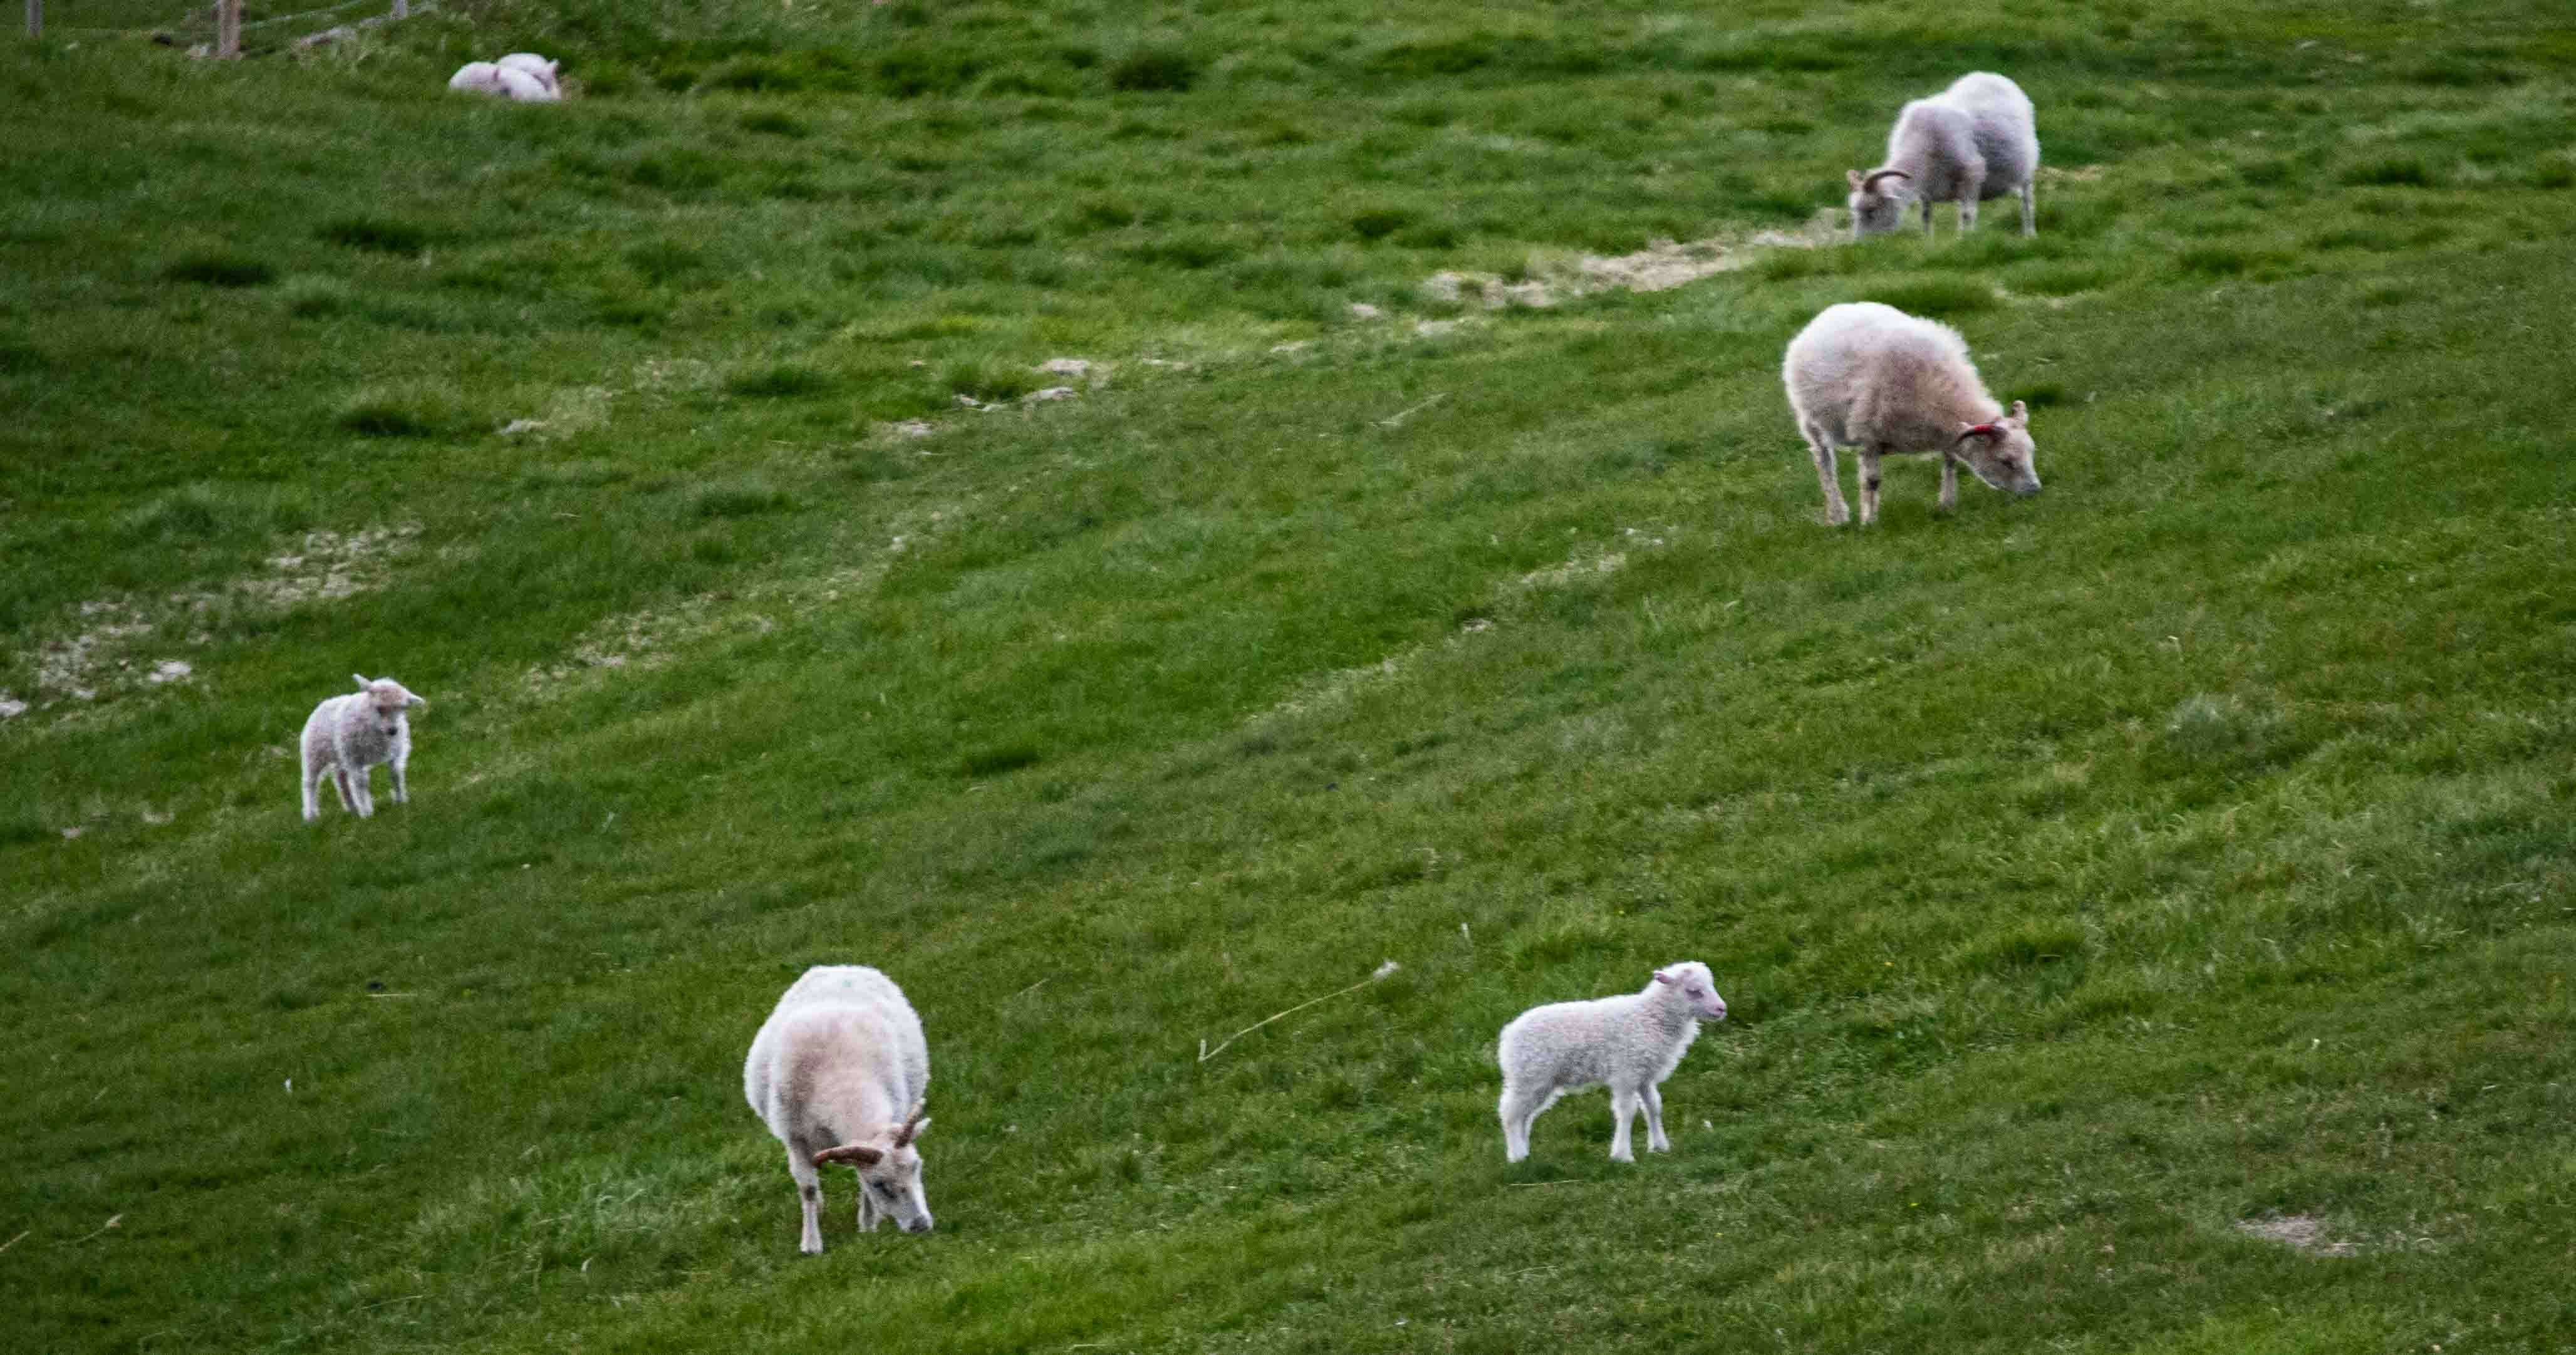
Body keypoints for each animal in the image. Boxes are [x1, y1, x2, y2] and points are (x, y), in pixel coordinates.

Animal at [298, 674, 425, 822]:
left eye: (402, 708)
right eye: (380, 708)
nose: (393, 730)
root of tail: (327, 701)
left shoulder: (396, 752)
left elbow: (396, 774)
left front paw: (400, 801)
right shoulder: (354, 758)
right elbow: (361, 782)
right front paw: (366, 813)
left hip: (341, 754)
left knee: (340, 777)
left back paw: (351, 807)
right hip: (314, 752)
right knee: (310, 782)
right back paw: (310, 815)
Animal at [744, 965, 935, 1253]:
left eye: (917, 1166)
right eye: (880, 1184)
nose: (921, 1226)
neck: (843, 1083)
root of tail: (843, 967)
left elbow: (859, 1181)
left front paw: (867, 1225)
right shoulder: (794, 1137)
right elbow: (808, 1187)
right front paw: (811, 1243)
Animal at [1497, 962, 1728, 1163]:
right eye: (1694, 991)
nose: (1722, 1009)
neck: (1651, 1017)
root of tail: (1507, 1036)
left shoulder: (1644, 1074)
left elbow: (1653, 1106)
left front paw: (1660, 1146)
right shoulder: (1626, 1072)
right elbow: (1627, 1110)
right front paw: (1623, 1155)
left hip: (1539, 1081)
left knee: (1525, 1115)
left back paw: (1523, 1151)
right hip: (1530, 1076)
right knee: (1510, 1113)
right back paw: (1517, 1156)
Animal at [1782, 301, 2043, 526]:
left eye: (2031, 453)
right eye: (2006, 461)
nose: (2035, 490)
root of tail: (1829, 313)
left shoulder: (1948, 434)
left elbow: (1950, 462)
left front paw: (1947, 504)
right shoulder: (1869, 436)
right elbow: (1872, 481)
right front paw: (1869, 522)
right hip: (1811, 421)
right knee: (1824, 462)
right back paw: (1838, 515)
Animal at [1847, 72, 2038, 239]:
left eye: (1872, 210)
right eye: (1855, 211)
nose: (1859, 244)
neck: (1921, 138)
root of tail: (1992, 75)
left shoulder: (1972, 174)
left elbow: (1968, 214)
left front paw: (1966, 239)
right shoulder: (1927, 189)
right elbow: (1926, 216)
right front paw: (1928, 241)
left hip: (2026, 171)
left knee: (2027, 202)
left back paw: (2030, 234)